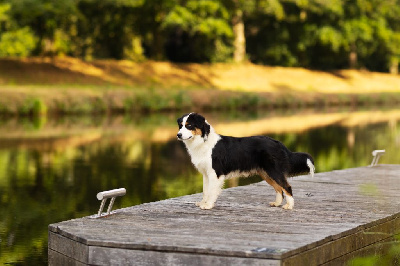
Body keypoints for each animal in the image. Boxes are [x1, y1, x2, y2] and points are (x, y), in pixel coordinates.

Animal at [177, 112, 314, 210]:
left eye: (189, 125)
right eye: (181, 126)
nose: (178, 135)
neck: (203, 142)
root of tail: (278, 143)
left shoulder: (215, 173)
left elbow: (211, 191)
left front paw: (208, 205)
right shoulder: (206, 173)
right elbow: (205, 191)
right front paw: (202, 203)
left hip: (274, 171)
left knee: (286, 186)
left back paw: (289, 206)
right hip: (266, 173)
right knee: (279, 188)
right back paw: (276, 203)